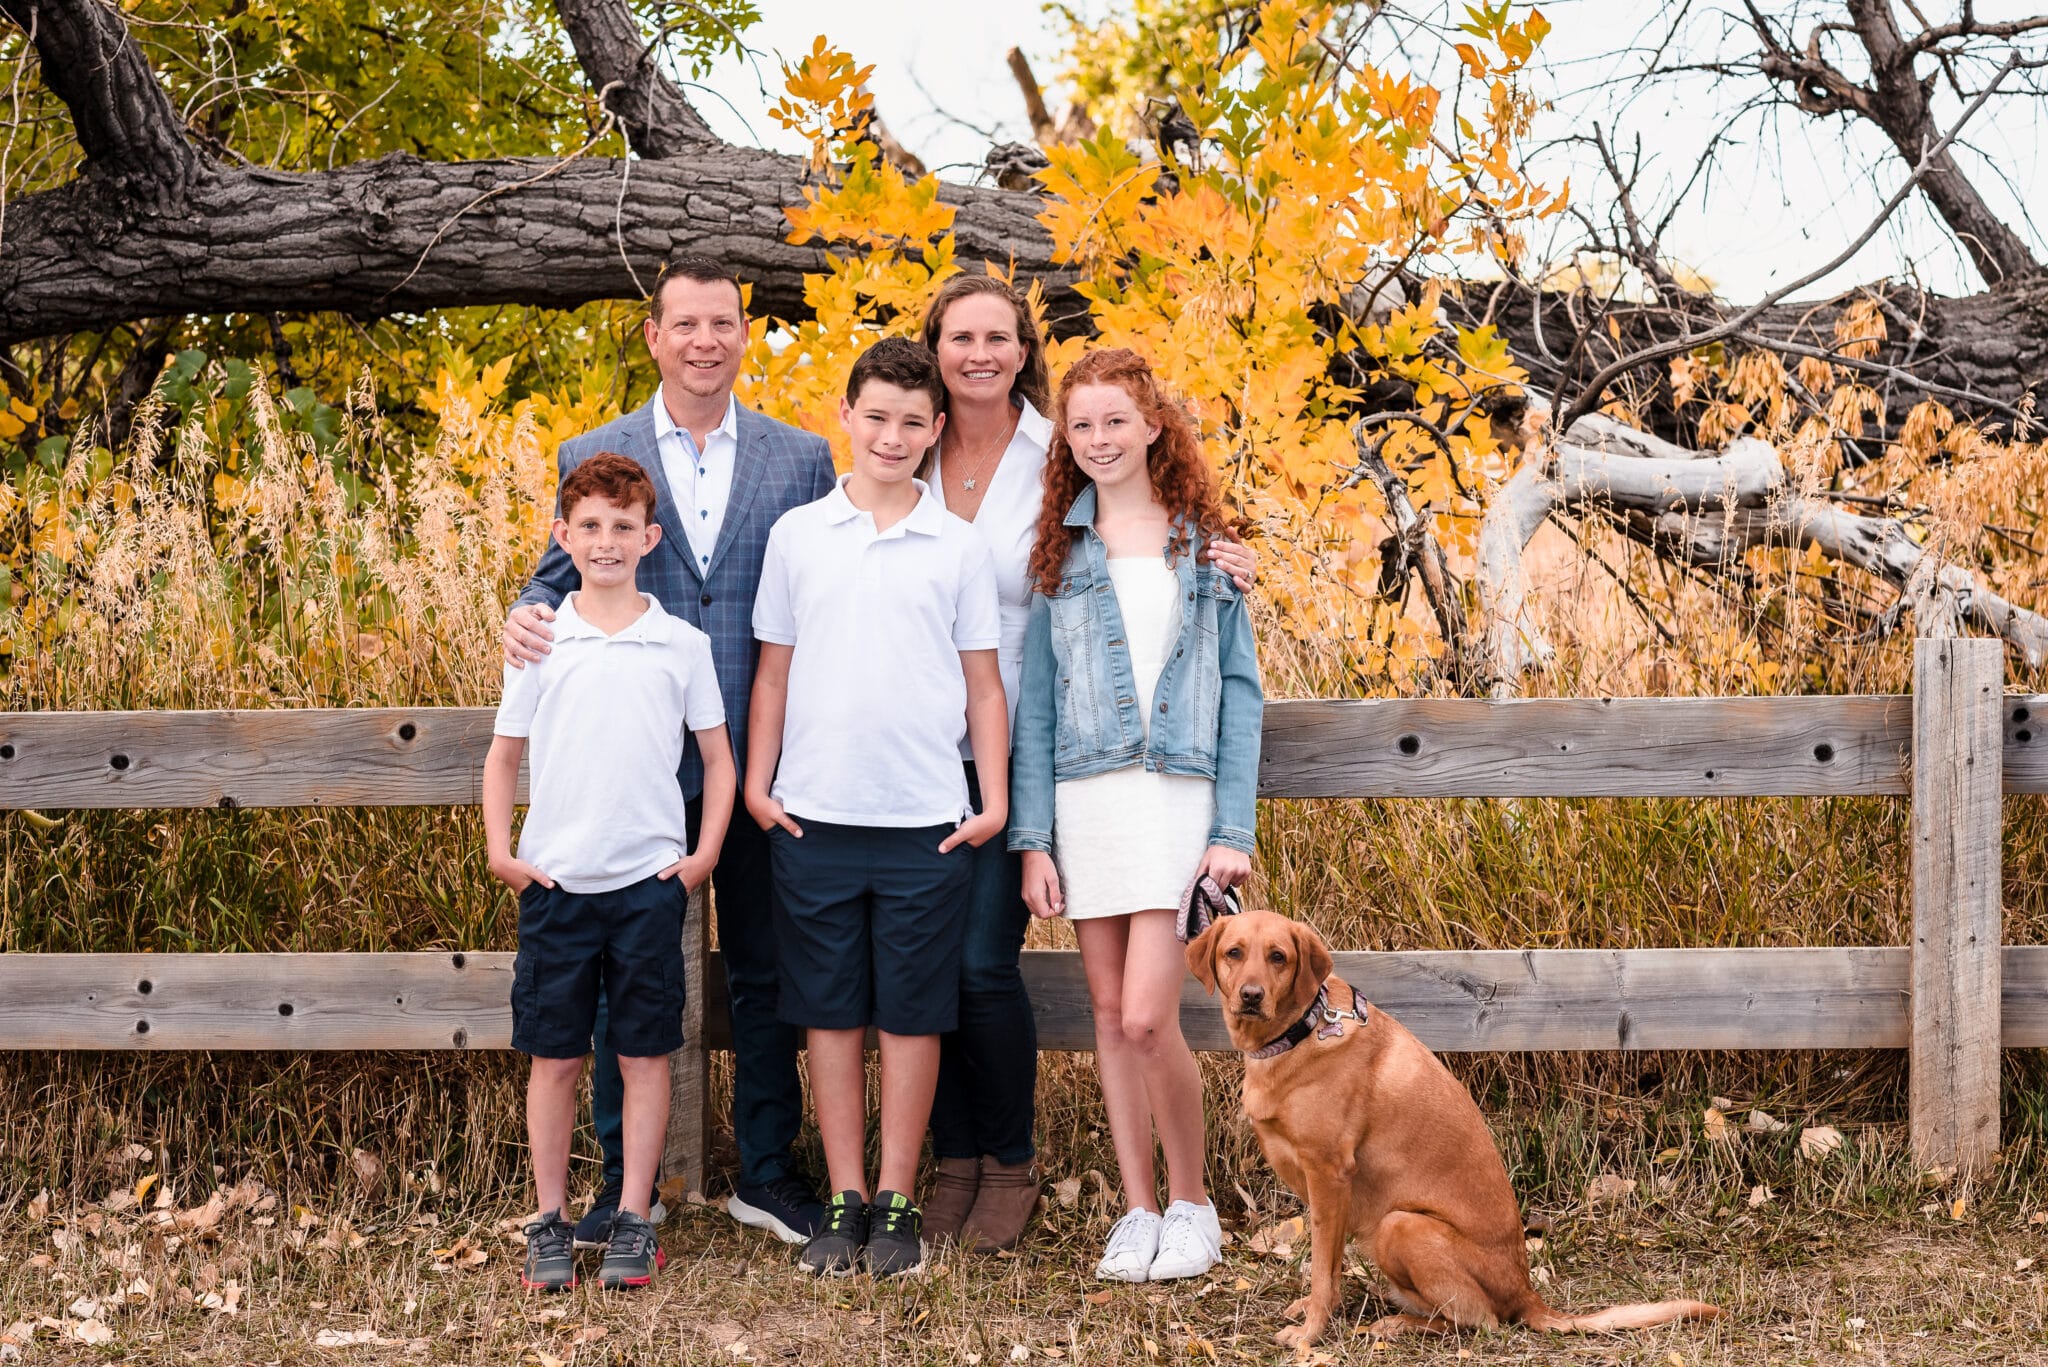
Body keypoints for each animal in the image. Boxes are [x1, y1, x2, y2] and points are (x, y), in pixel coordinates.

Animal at [1187, 909, 1712, 1344]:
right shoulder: (1327, 1194)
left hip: (1401, 1225)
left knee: (1482, 1321)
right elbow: (1329, 1269)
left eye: (1278, 956)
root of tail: (1527, 1293)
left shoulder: (1329, 1175)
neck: (1303, 1030)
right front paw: (1317, 1312)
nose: (1250, 996)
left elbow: (1320, 1268)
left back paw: (1399, 1325)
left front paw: (1312, 1334)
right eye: (1234, 953)